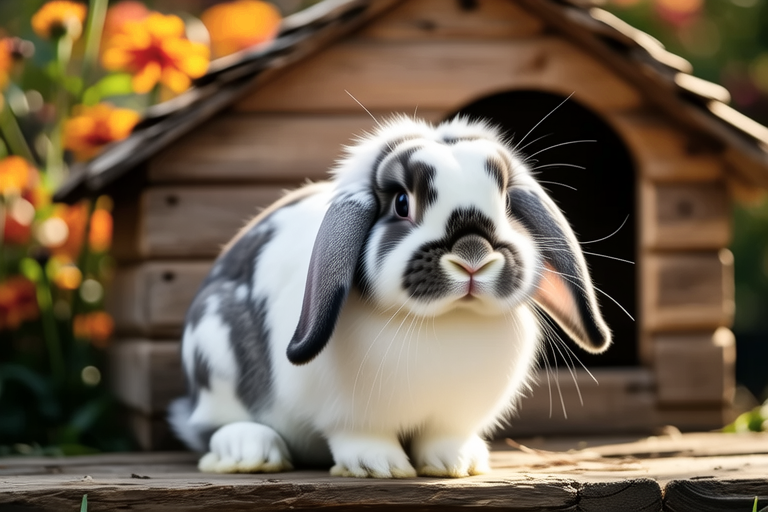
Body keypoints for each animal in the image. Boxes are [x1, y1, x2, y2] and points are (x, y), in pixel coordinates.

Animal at [167, 115, 611, 478]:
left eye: (504, 202)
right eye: (401, 203)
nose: (474, 255)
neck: (446, 322)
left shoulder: (451, 417)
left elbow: (443, 438)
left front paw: (456, 463)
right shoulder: (351, 417)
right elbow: (362, 437)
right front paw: (378, 465)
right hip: (214, 353)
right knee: (214, 426)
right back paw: (250, 451)